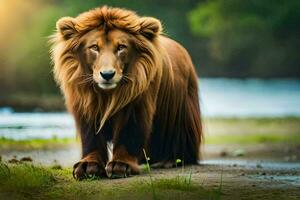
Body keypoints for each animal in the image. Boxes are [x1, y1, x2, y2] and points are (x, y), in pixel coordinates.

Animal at [50, 6, 203, 180]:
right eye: (94, 47)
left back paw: (167, 160)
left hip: (182, 115)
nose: (107, 74)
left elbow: (128, 134)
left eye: (121, 47)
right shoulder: (86, 104)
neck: (106, 95)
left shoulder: (135, 107)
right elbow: (91, 138)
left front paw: (120, 165)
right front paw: (88, 166)